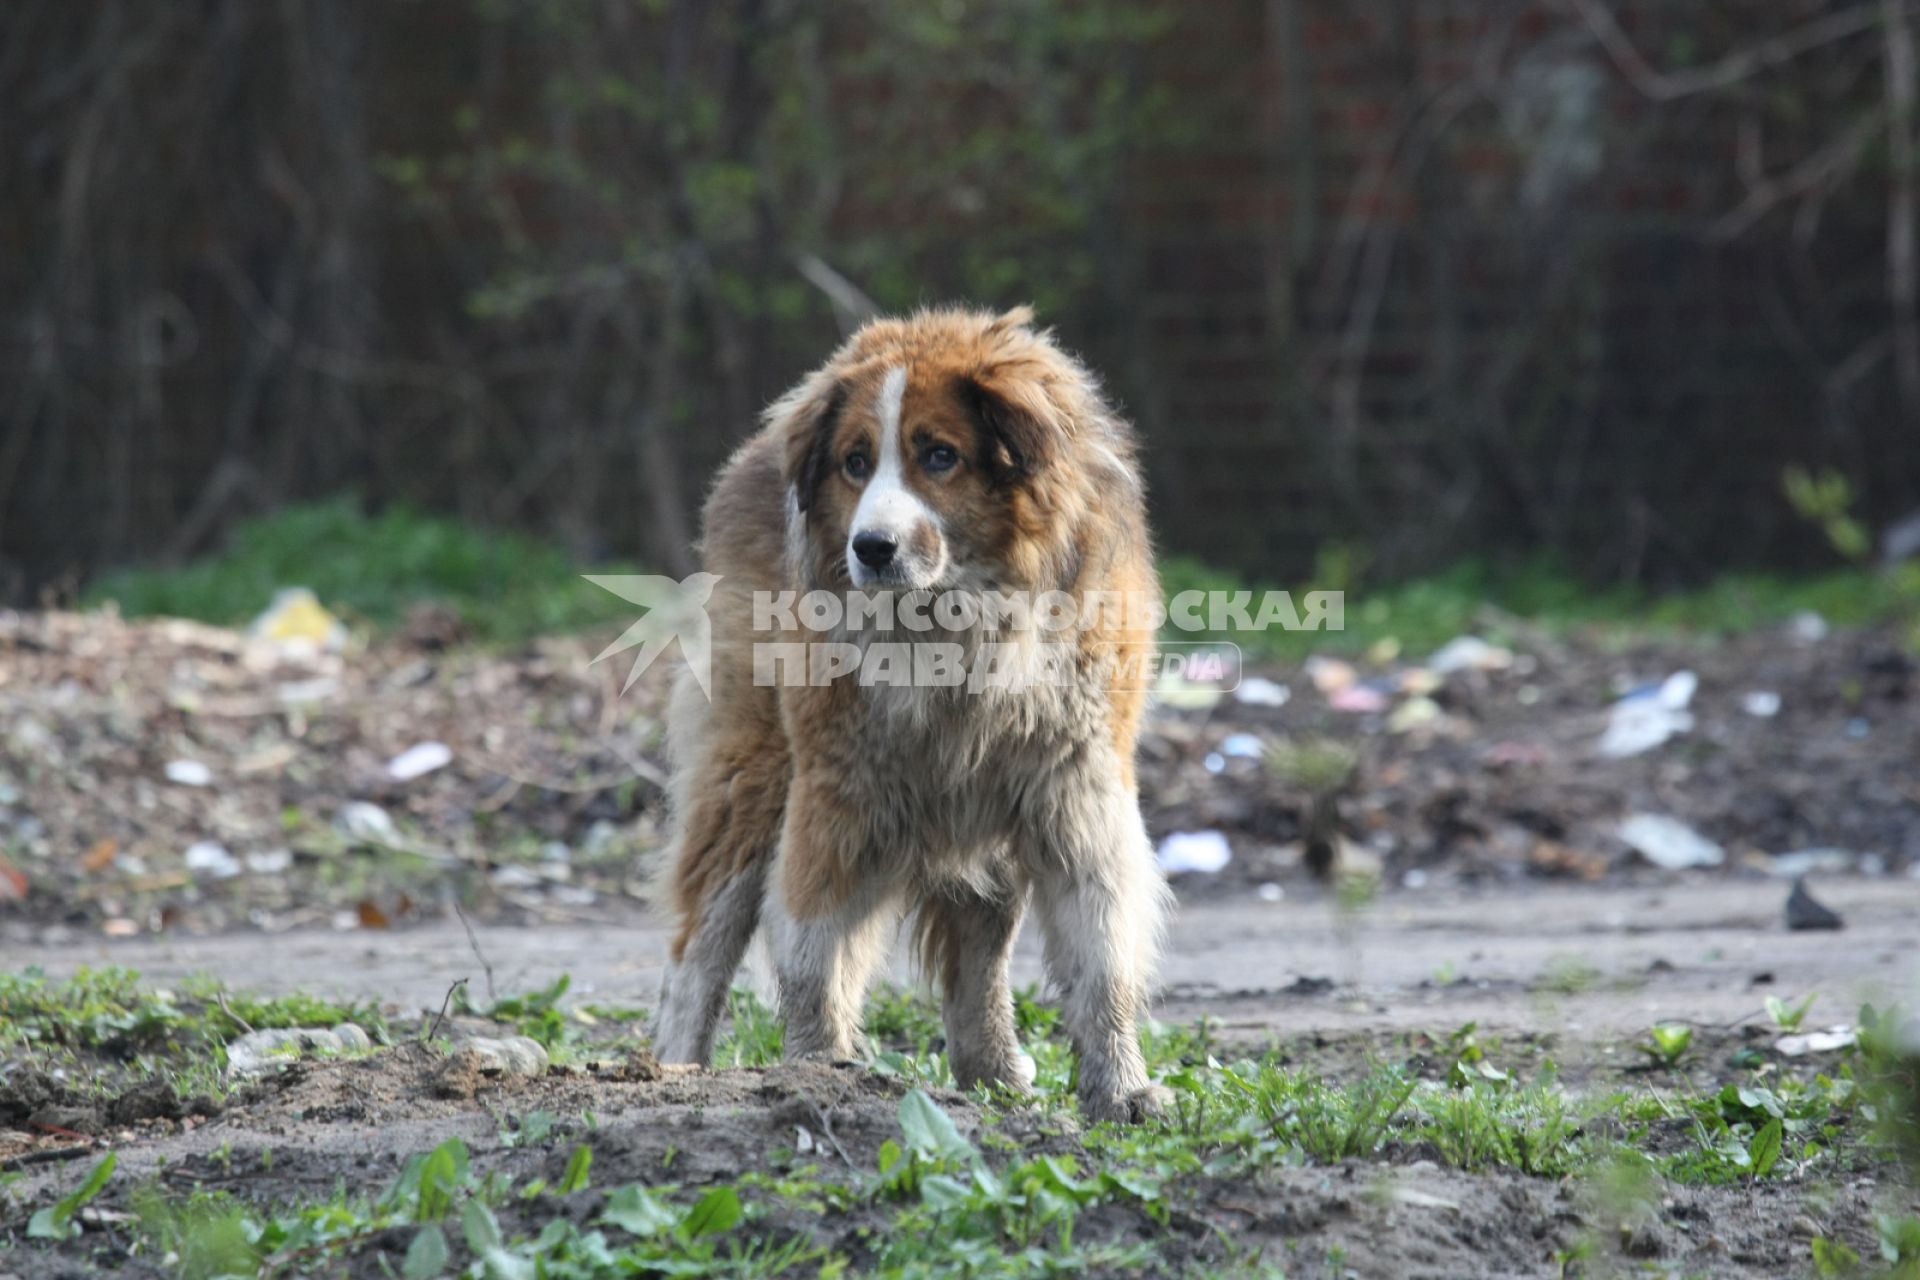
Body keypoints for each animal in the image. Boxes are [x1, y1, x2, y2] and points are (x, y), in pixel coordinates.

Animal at [656, 307, 1167, 1120]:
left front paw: (1121, 1088)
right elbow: (813, 949)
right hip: (753, 772)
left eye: (940, 456)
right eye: (855, 463)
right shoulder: (837, 790)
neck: (957, 620)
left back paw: (992, 1068)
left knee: (980, 949)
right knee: (700, 940)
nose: (871, 547)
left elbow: (1102, 950)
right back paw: (675, 1070)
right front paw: (815, 1070)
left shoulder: (1074, 786)